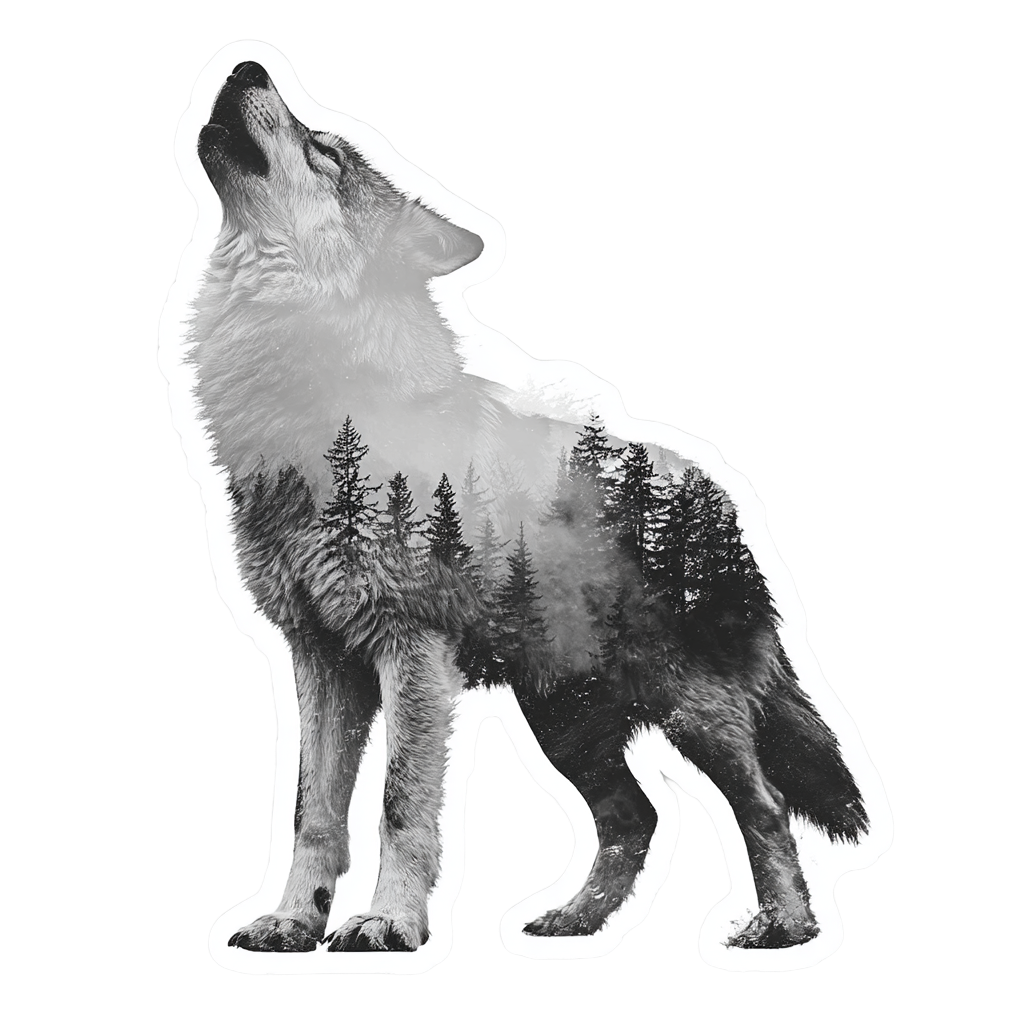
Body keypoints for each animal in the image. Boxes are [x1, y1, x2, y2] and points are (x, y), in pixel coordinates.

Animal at [177, 57, 873, 958]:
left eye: (324, 149)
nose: (247, 62)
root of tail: (721, 498)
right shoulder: (318, 659)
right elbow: (311, 813)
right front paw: (294, 922)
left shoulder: (412, 649)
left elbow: (400, 803)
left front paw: (389, 923)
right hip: (562, 718)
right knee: (640, 816)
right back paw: (575, 921)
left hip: (692, 709)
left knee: (761, 805)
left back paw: (783, 925)